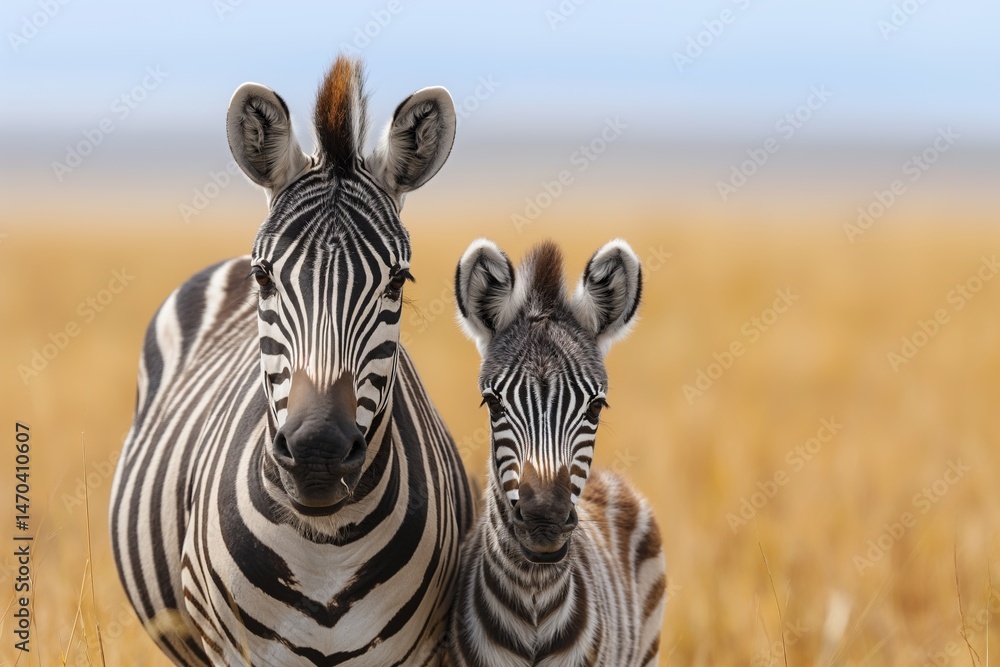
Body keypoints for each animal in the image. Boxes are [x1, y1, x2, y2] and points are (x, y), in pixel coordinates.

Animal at [109, 56, 474, 666]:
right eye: (265, 277)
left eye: (398, 282)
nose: (317, 453)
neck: (326, 549)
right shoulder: (229, 649)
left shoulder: (421, 651)